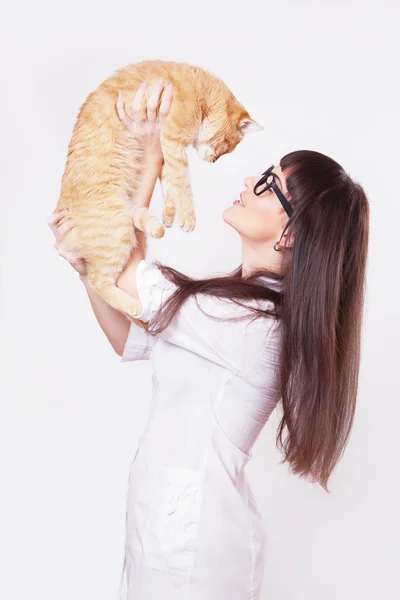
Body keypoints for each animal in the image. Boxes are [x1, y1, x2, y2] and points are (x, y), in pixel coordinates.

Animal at [55, 58, 262, 316]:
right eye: (226, 146)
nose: (213, 161)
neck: (202, 93)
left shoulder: (165, 150)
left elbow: (169, 183)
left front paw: (170, 214)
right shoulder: (172, 140)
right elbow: (182, 183)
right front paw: (187, 218)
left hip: (122, 221)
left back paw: (156, 226)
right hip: (116, 230)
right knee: (97, 280)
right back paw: (134, 305)